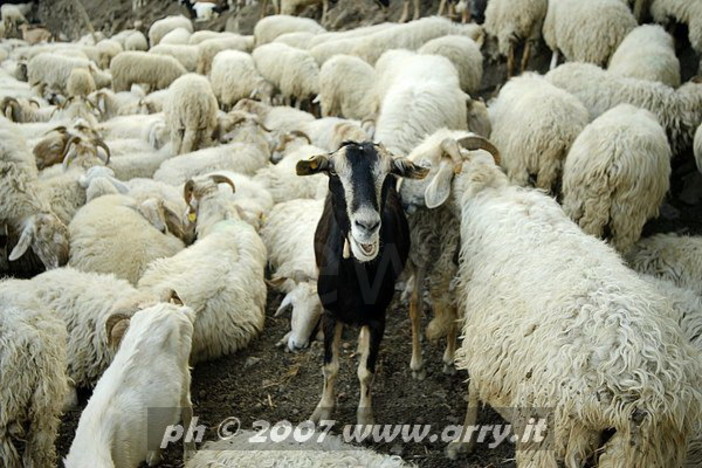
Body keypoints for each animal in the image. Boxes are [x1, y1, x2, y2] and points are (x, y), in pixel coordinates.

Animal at [297, 141, 428, 426]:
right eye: (333, 172)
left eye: (389, 175)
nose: (367, 226)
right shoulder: (330, 312)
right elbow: (330, 366)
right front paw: (322, 411)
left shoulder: (378, 317)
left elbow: (367, 371)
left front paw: (365, 419)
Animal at [442, 145, 702, 466]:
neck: (492, 193)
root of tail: (634, 394)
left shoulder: (479, 328)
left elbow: (474, 389)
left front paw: (462, 442)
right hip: (640, 452)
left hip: (550, 430)